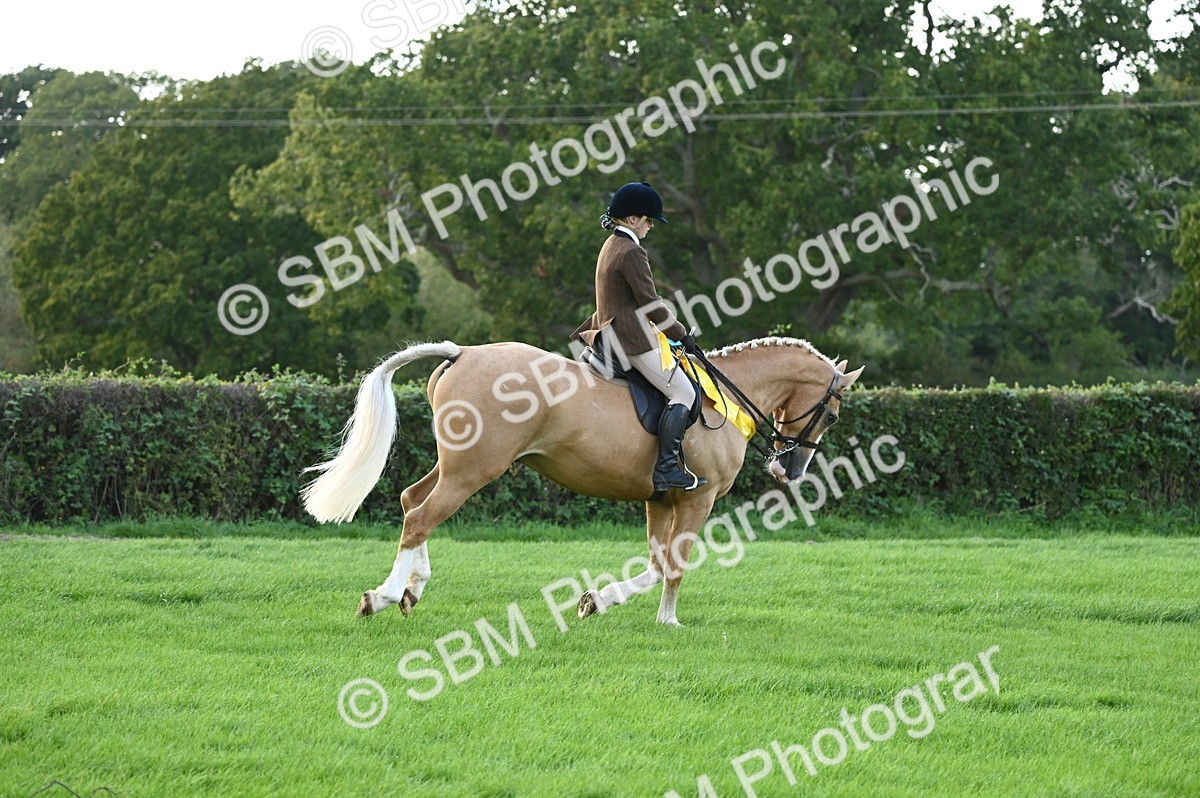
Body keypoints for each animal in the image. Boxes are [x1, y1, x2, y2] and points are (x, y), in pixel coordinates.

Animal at [301, 336, 863, 626]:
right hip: (473, 470)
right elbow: (675, 565)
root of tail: (463, 351)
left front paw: (600, 600)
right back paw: (384, 595)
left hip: (456, 465)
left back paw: (412, 589)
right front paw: (668, 621)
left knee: (411, 500)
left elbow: (657, 563)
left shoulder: (660, 500)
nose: (789, 469)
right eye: (832, 415)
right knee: (421, 516)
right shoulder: (696, 500)